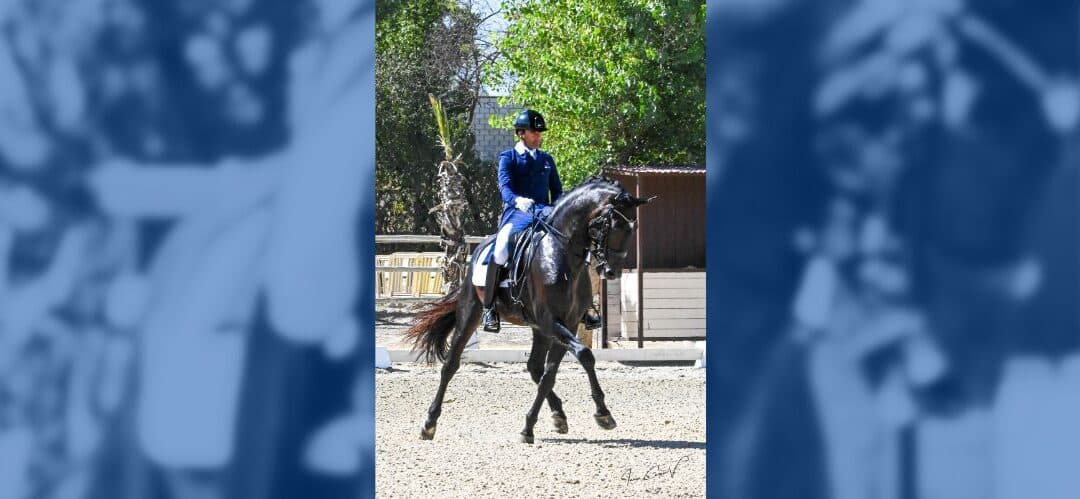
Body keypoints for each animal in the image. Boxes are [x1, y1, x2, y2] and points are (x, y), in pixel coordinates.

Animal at [403, 174, 652, 444]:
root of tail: (479, 248)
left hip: (537, 329)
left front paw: (534, 425)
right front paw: (601, 414)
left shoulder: (567, 323)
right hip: (471, 312)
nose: (611, 271)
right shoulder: (550, 321)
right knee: (450, 365)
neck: (562, 257)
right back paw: (429, 424)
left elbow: (551, 374)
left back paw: (558, 415)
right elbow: (584, 355)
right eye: (610, 224)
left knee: (534, 367)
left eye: (632, 228)